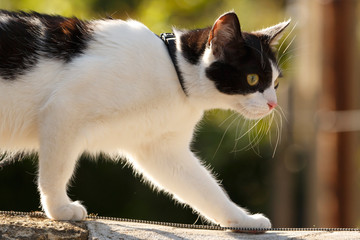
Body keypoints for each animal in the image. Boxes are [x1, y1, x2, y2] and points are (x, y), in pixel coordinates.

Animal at [0, 10, 290, 228]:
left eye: (275, 83)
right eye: (252, 79)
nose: (273, 104)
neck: (173, 70)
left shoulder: (161, 150)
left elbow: (205, 188)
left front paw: (243, 220)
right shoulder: (64, 110)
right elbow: (57, 170)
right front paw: (59, 209)